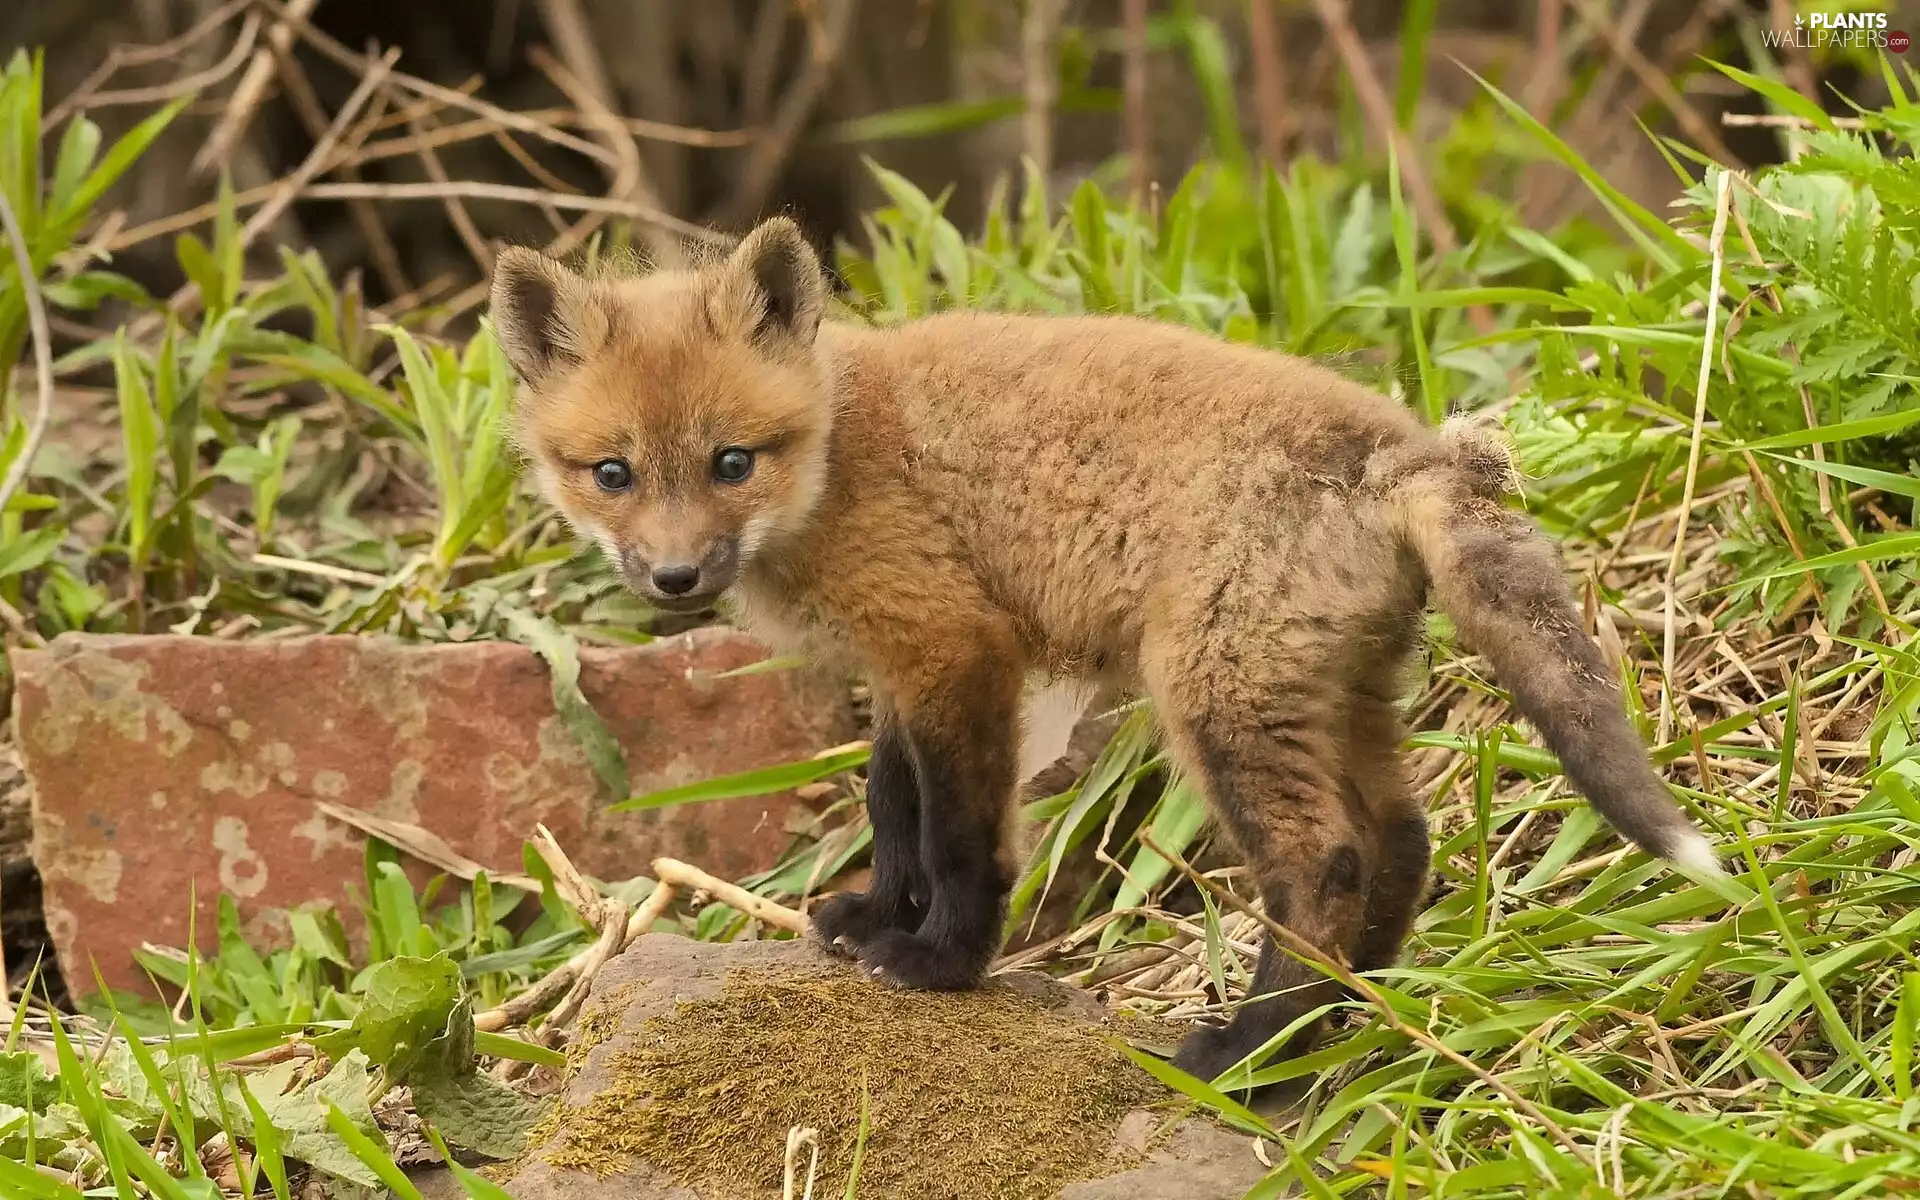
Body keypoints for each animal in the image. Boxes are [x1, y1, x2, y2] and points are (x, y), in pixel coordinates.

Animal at [489, 216, 1722, 1082]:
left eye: (732, 462)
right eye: (613, 473)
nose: (674, 579)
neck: (840, 453)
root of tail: (1401, 451)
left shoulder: (956, 647)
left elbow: (959, 835)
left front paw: (943, 963)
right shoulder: (903, 666)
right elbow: (894, 808)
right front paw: (875, 919)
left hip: (1212, 699)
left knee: (1325, 859)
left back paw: (1245, 1057)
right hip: (1336, 691)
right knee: (1403, 840)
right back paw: (1342, 1028)